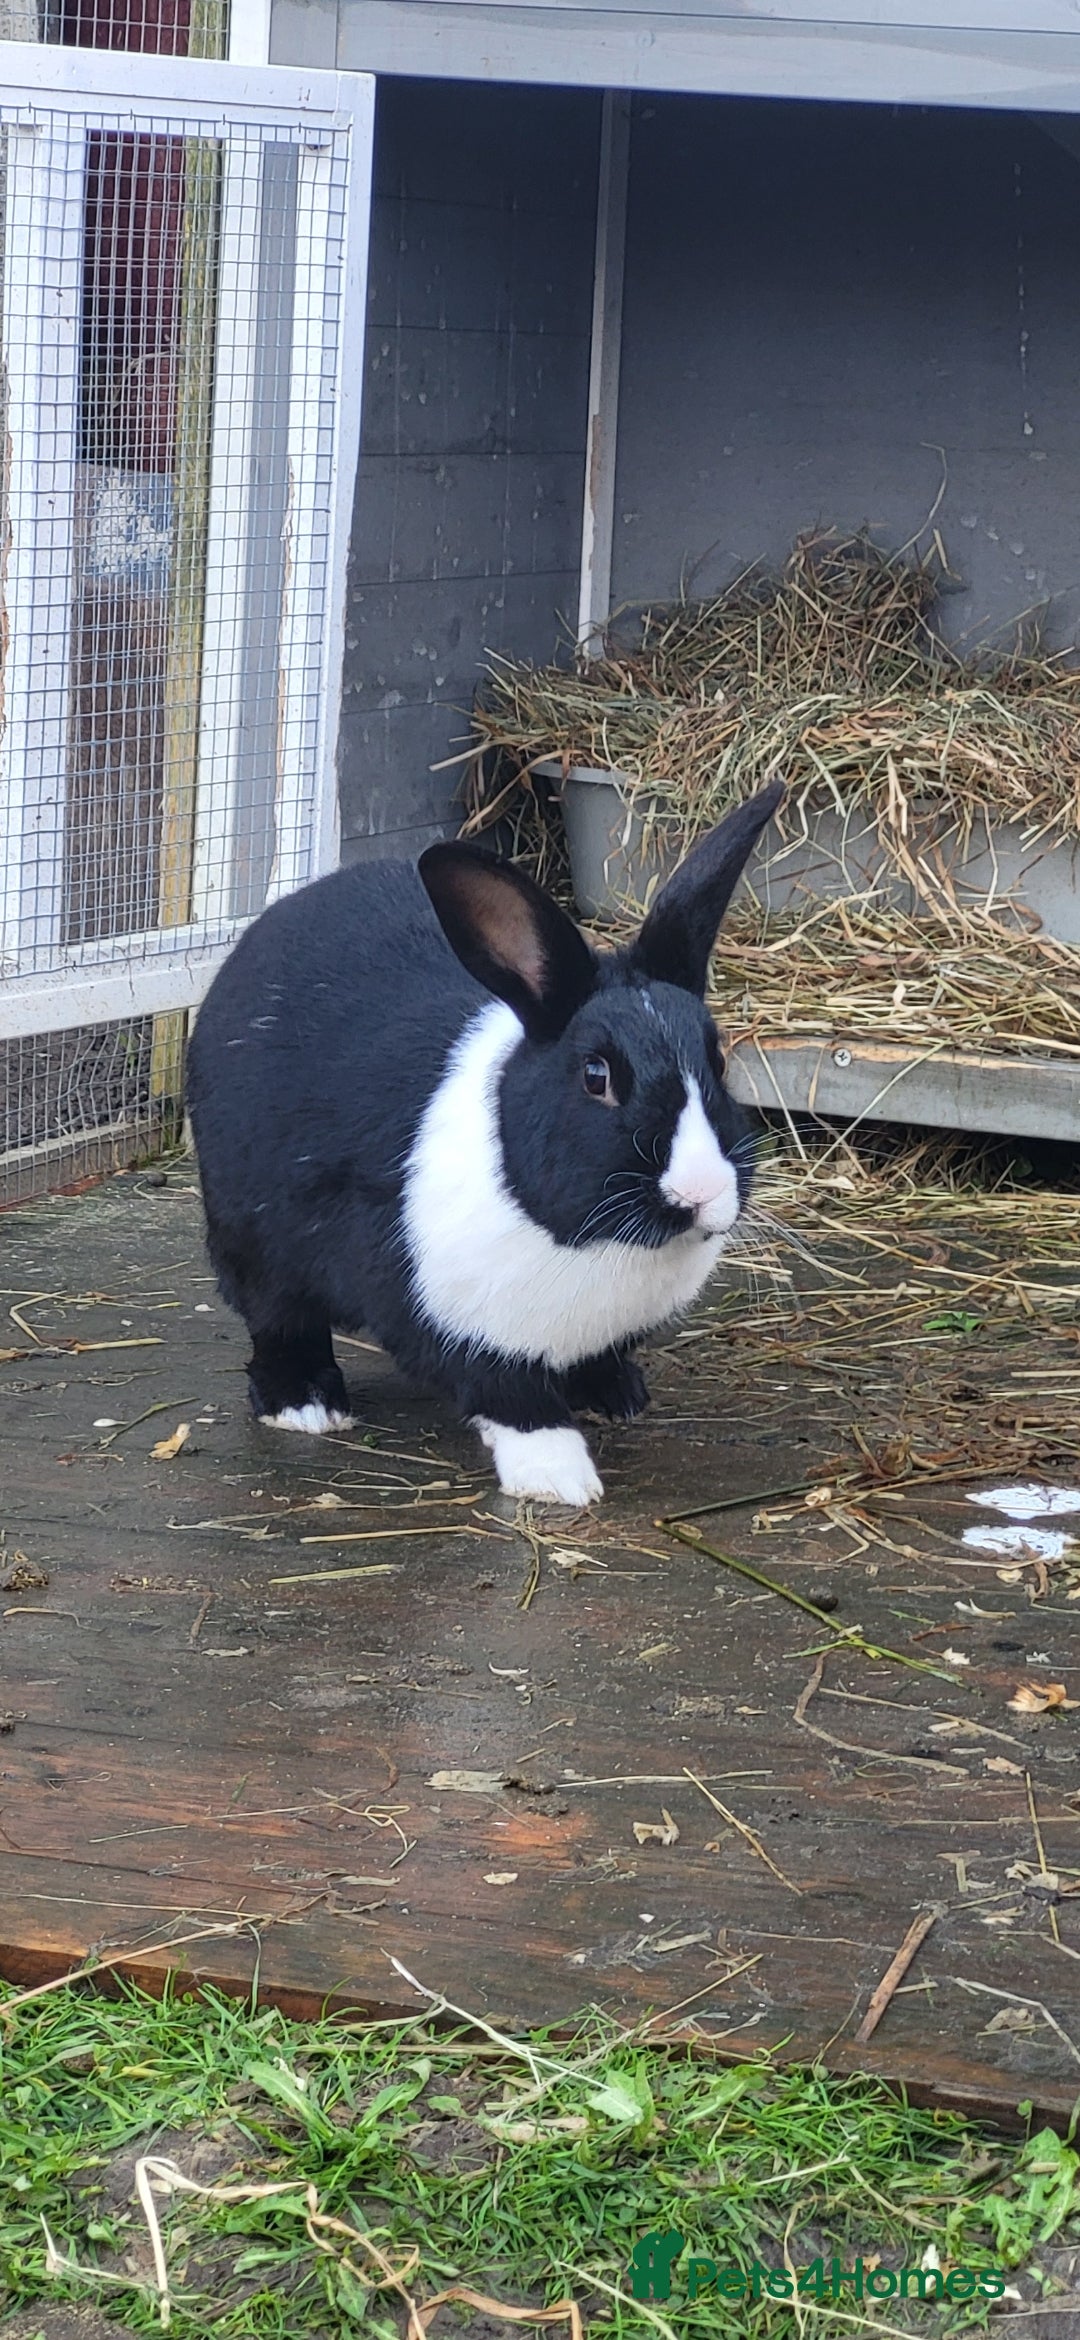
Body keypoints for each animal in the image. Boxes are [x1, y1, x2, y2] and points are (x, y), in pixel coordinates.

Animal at [185, 775, 783, 1507]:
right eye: (597, 1076)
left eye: (718, 1060)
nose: (699, 1193)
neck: (590, 1239)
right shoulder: (454, 1317)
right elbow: (510, 1395)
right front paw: (559, 1476)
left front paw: (613, 1396)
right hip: (251, 1234)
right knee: (276, 1318)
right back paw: (305, 1406)